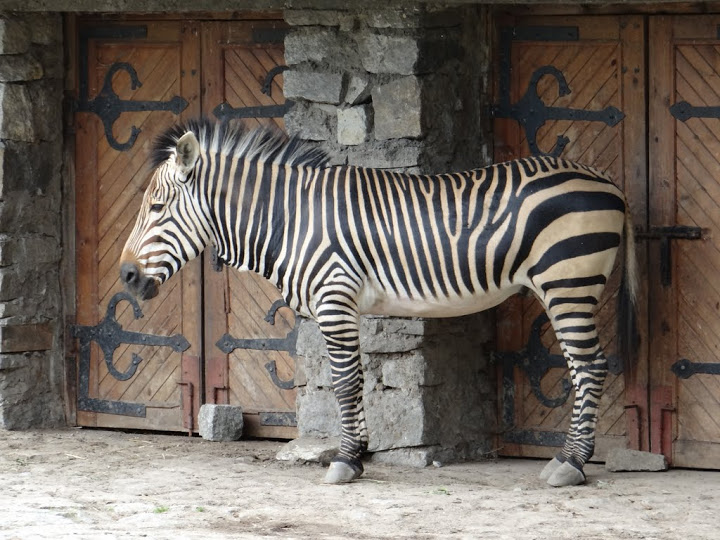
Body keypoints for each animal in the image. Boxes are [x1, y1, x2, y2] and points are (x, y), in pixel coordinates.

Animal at [120, 119, 637, 488]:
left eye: (157, 208)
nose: (126, 277)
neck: (290, 218)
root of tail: (609, 182)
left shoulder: (334, 298)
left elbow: (345, 383)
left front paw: (347, 461)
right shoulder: (345, 304)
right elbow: (355, 382)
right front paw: (359, 454)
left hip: (568, 281)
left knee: (589, 367)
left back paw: (571, 465)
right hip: (568, 285)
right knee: (585, 367)